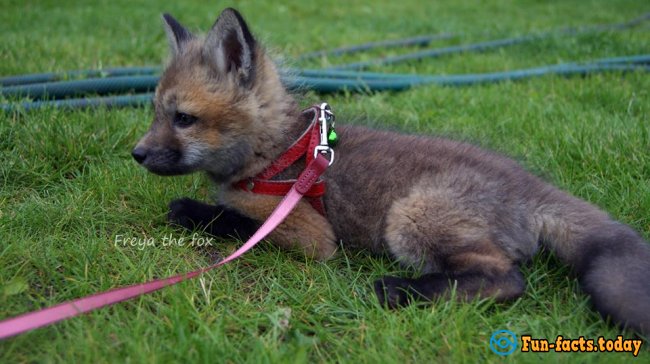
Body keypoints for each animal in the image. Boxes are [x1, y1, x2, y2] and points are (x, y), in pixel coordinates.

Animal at [133, 8, 648, 334]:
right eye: (156, 113)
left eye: (183, 119)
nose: (136, 154)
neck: (278, 152)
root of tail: (531, 186)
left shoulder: (309, 233)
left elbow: (233, 220)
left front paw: (192, 211)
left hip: (409, 217)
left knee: (506, 280)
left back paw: (400, 290)